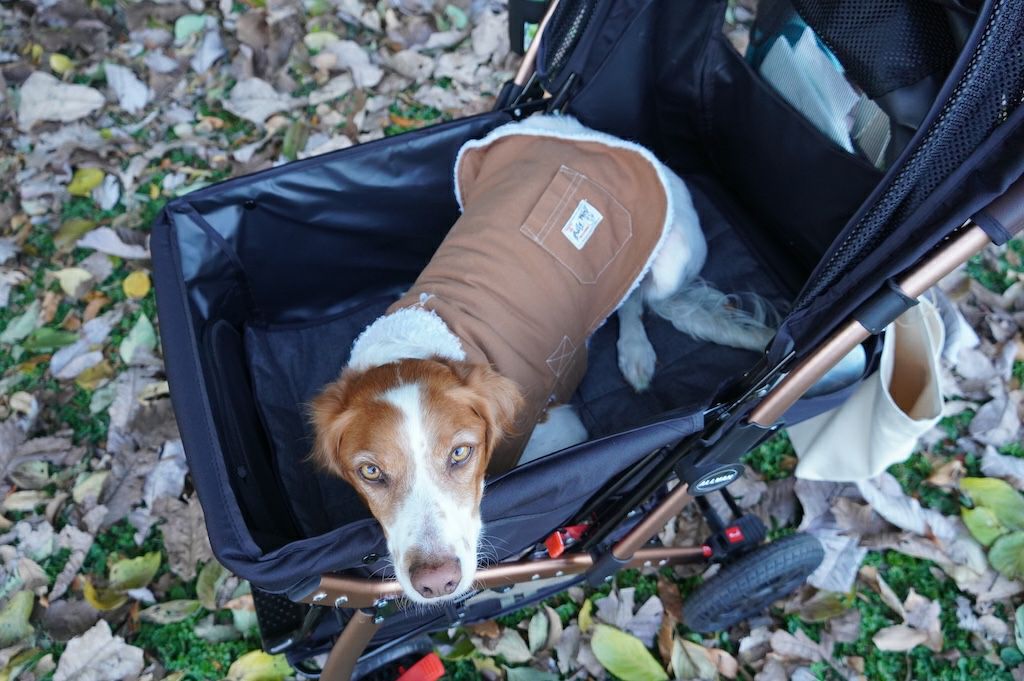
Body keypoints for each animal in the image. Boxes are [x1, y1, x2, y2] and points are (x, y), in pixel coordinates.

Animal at [310, 115, 774, 604]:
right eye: (371, 471)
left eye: (461, 452)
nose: (437, 582)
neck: (417, 343)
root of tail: (577, 127)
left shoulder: (562, 428)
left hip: (666, 262)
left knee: (640, 298)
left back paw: (636, 352)